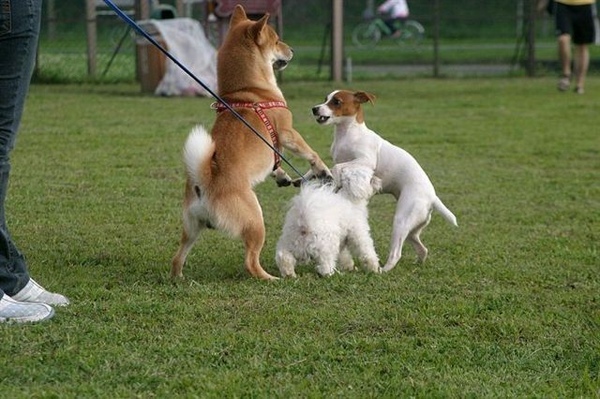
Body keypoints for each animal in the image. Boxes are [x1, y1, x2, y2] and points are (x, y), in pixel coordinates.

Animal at [170, 5, 332, 282]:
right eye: (277, 40)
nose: (293, 49)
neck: (246, 92)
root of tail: (205, 182)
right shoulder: (288, 133)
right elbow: (310, 152)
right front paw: (322, 168)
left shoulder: (276, 146)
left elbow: (277, 163)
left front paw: (282, 176)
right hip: (256, 222)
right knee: (250, 262)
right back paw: (272, 278)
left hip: (191, 228)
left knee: (178, 256)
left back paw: (179, 278)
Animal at [312, 90, 458, 272]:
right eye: (325, 99)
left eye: (336, 102)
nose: (314, 109)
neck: (348, 134)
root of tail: (432, 197)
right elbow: (336, 168)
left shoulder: (366, 162)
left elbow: (338, 168)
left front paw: (338, 179)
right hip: (411, 230)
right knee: (422, 249)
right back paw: (417, 264)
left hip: (401, 221)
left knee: (396, 254)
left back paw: (382, 270)